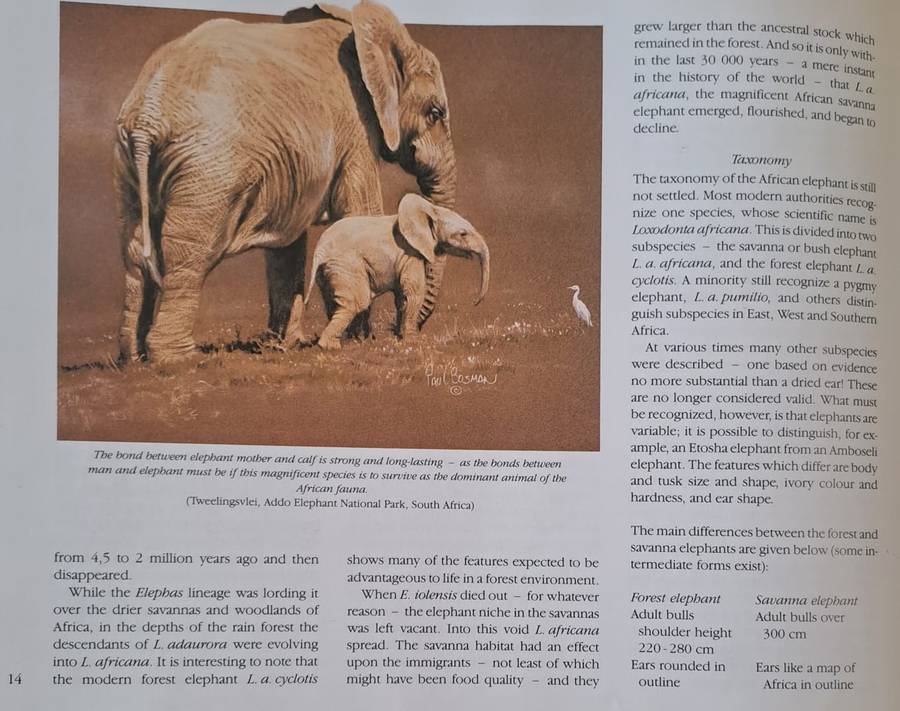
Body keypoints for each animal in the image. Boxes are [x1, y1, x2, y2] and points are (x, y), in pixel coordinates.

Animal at [113, 1, 457, 362]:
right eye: (435, 113)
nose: (400, 332)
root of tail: (146, 118)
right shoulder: (355, 126)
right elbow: (358, 210)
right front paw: (361, 341)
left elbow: (287, 239)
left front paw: (284, 346)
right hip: (208, 165)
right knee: (188, 250)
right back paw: (179, 359)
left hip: (129, 163)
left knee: (134, 250)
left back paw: (133, 359)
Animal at [305, 193, 490, 349]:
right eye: (463, 234)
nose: (475, 302)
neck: (429, 210)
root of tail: (319, 250)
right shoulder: (409, 252)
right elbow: (414, 293)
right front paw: (413, 342)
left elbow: (402, 297)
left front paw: (399, 337)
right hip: (346, 264)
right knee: (358, 302)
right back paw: (331, 346)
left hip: (328, 271)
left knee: (333, 302)